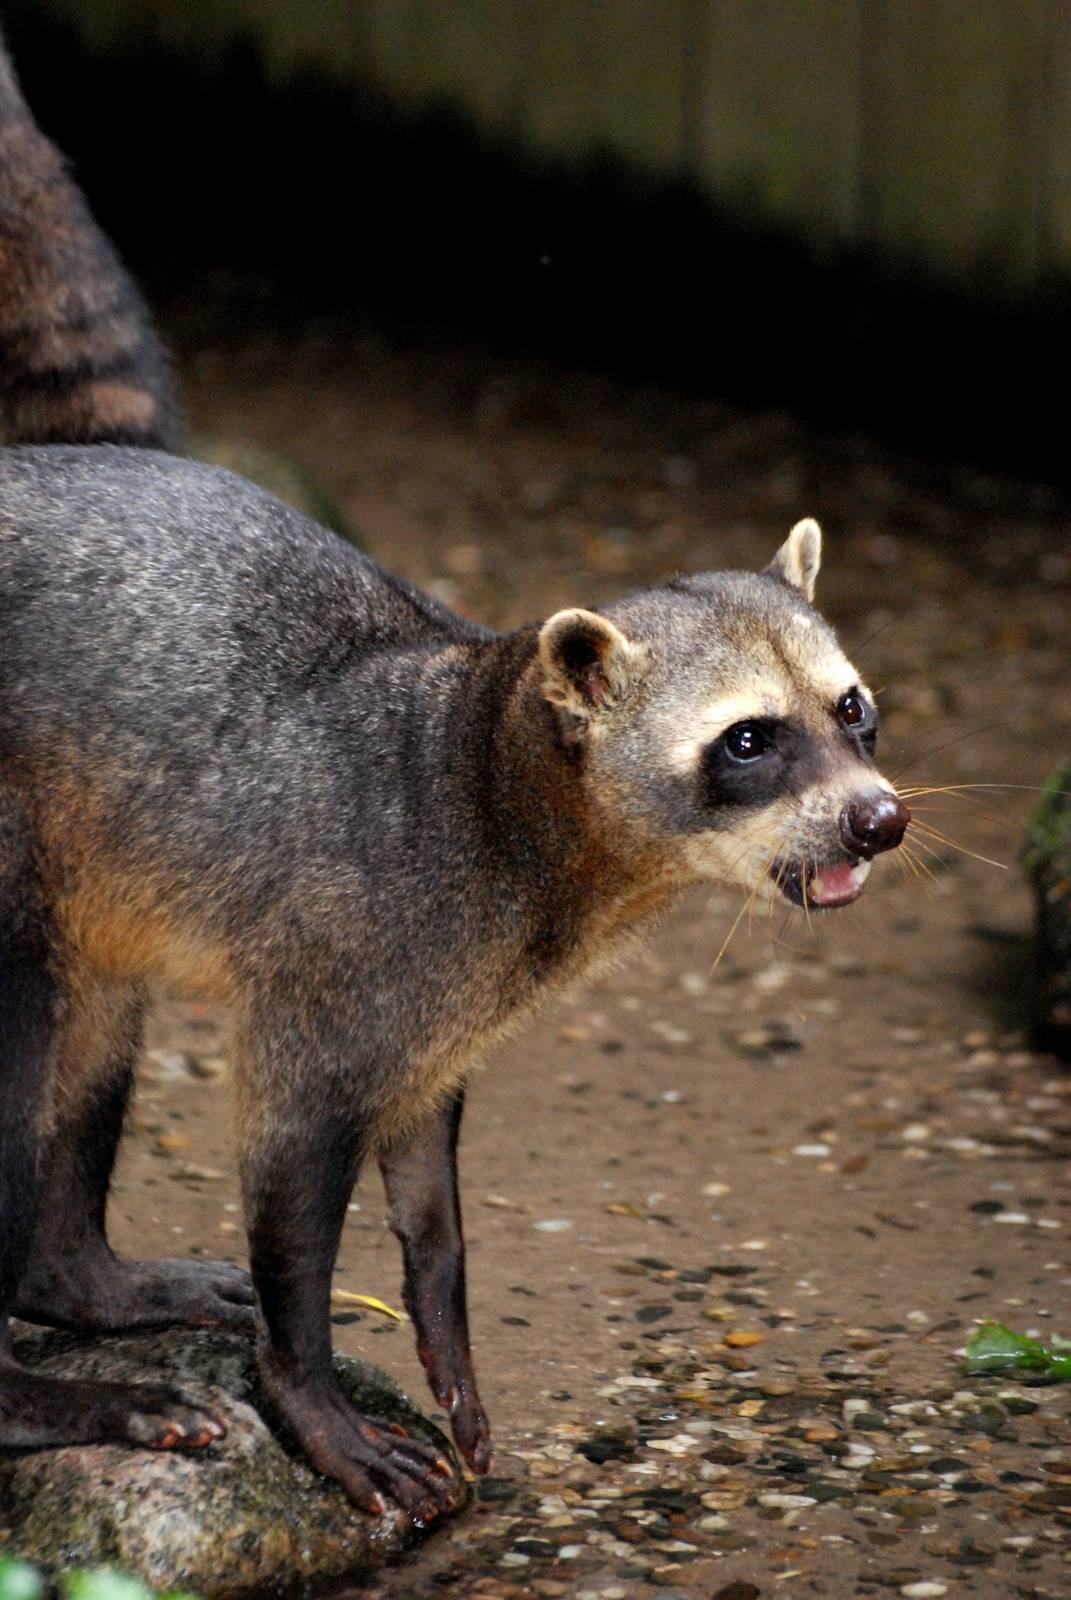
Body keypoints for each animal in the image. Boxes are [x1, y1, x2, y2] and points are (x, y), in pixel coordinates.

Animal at [0, 444, 909, 1520]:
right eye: (749, 738)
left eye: (850, 709)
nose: (880, 820)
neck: (482, 753)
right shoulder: (337, 956)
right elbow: (293, 1171)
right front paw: (307, 1393)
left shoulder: (445, 996)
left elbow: (427, 1165)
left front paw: (445, 1331)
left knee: (90, 1038)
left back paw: (76, 1277)